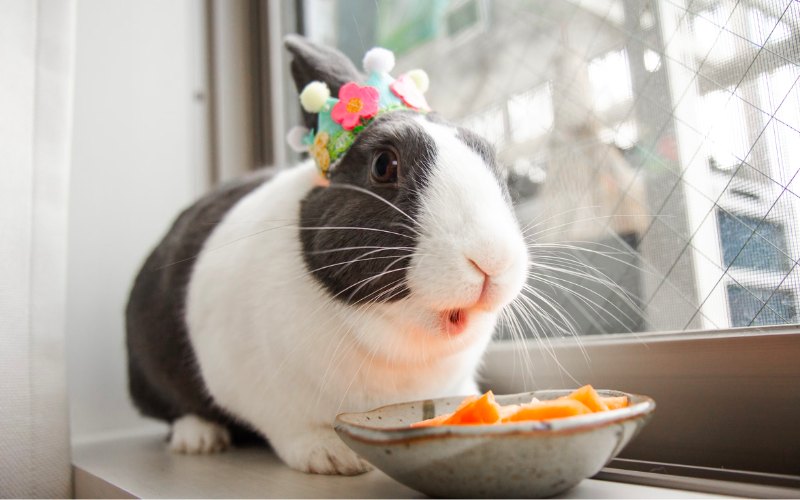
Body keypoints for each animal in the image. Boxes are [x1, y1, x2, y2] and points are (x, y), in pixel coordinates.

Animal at [125, 35, 529, 475]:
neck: (401, 344)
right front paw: (335, 457)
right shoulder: (264, 394)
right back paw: (198, 439)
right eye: (383, 165)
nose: (491, 259)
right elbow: (294, 428)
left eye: (493, 162)